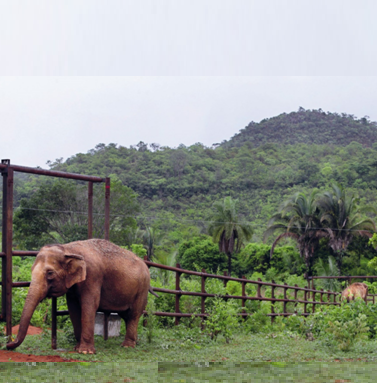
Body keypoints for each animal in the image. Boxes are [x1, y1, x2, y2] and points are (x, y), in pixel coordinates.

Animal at [6, 240, 152, 354]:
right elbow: (73, 308)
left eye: (50, 273)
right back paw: (135, 342)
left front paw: (85, 351)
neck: (68, 249)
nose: (8, 344)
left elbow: (89, 305)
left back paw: (127, 346)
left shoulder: (93, 276)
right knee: (126, 315)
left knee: (133, 314)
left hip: (142, 290)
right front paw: (77, 348)